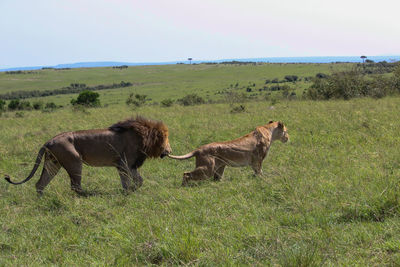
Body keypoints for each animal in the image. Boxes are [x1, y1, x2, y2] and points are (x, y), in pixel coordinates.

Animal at [3, 116, 172, 194]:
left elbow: (136, 180)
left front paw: (129, 191)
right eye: (166, 139)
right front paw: (128, 191)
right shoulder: (124, 163)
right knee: (75, 186)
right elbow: (132, 180)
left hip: (52, 163)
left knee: (40, 184)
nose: (170, 151)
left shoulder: (126, 165)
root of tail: (49, 141)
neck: (143, 136)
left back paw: (41, 200)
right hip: (74, 162)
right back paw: (90, 195)